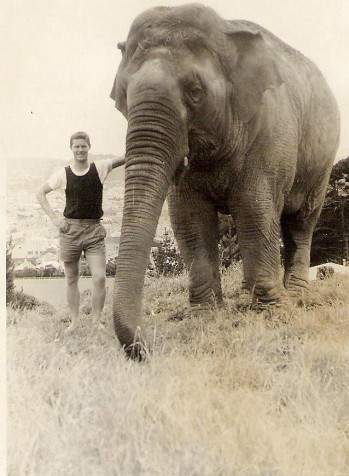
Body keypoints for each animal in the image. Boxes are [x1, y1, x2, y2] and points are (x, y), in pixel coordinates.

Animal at [109, 2, 338, 356]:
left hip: (321, 162)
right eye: (123, 95)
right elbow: (189, 218)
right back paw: (246, 294)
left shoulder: (271, 130)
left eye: (195, 92)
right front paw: (206, 315)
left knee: (300, 222)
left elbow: (254, 207)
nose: (146, 348)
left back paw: (296, 297)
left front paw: (272, 314)